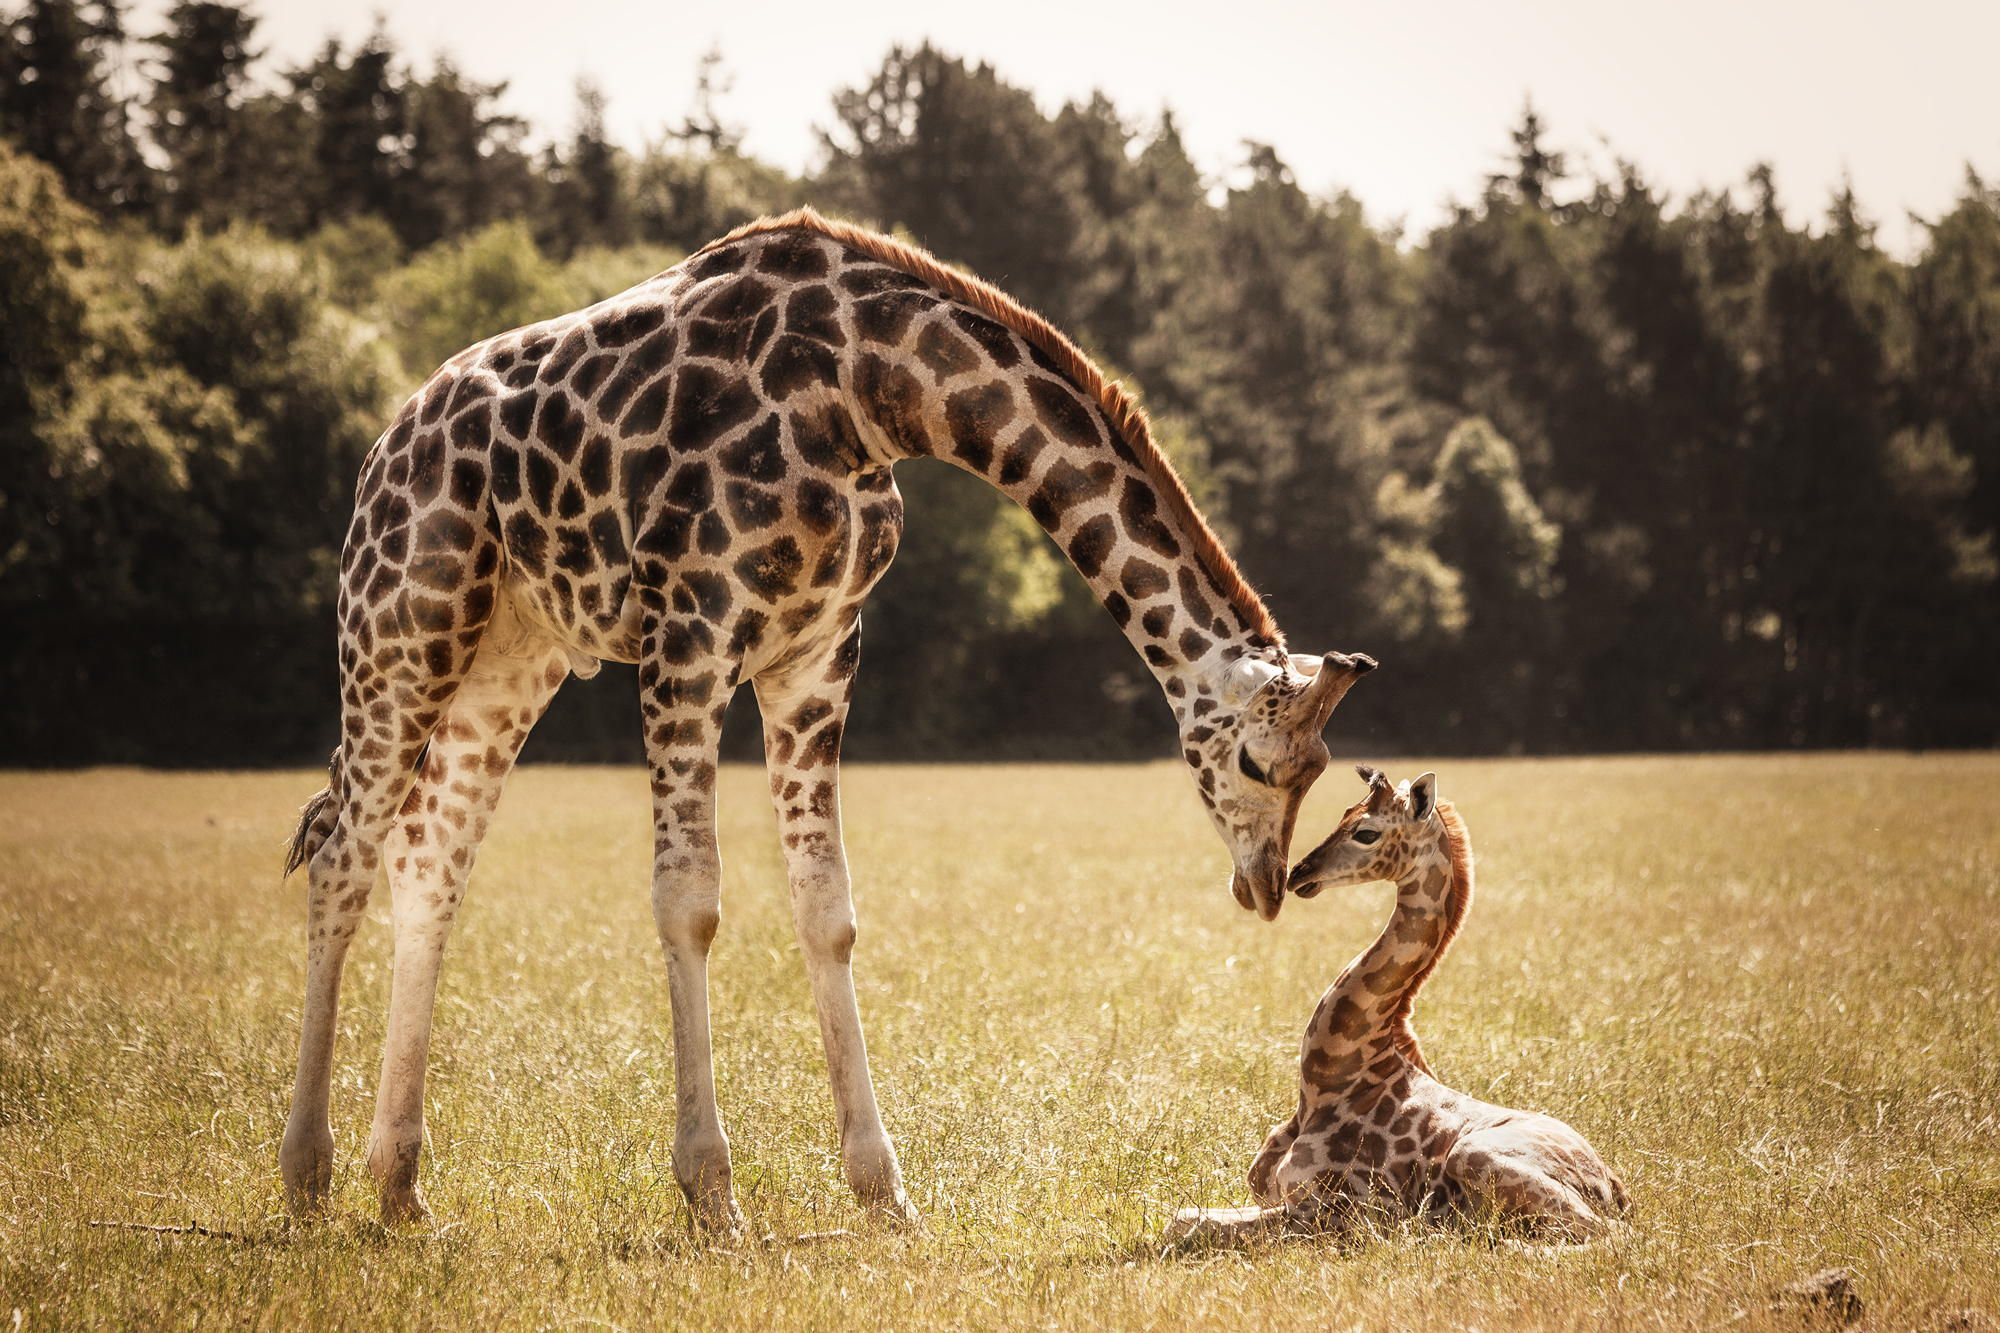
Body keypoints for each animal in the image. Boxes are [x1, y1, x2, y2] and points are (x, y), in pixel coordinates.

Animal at [282, 205, 1376, 1224]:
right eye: (1261, 765)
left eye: (1319, 772)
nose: (1264, 885)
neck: (867, 390)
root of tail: (383, 448)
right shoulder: (690, 632)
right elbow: (688, 897)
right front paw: (711, 1194)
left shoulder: (817, 654)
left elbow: (826, 906)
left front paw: (881, 1189)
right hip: (402, 624)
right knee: (343, 858)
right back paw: (306, 1175)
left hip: (510, 654)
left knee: (428, 857)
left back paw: (401, 1186)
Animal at [1168, 764, 1624, 1240]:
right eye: (1343, 813)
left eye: (1366, 832)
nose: (1298, 874)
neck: (1327, 1082)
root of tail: (1613, 1184)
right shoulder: (1273, 1196)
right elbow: (1184, 1218)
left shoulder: (1346, 1213)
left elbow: (1185, 1224)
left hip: (1476, 1156)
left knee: (1609, 1236)